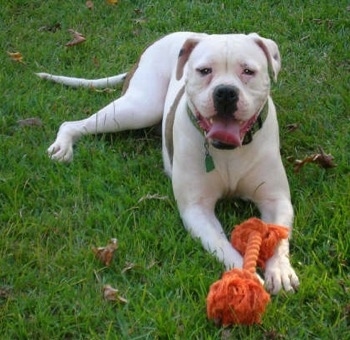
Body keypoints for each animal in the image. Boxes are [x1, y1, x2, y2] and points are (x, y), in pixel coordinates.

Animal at [38, 31, 298, 294]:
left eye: (248, 71)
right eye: (204, 71)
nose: (225, 92)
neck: (228, 151)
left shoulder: (276, 200)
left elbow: (278, 235)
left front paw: (280, 270)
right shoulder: (196, 209)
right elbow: (223, 246)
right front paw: (247, 276)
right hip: (138, 108)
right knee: (72, 124)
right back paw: (63, 145)